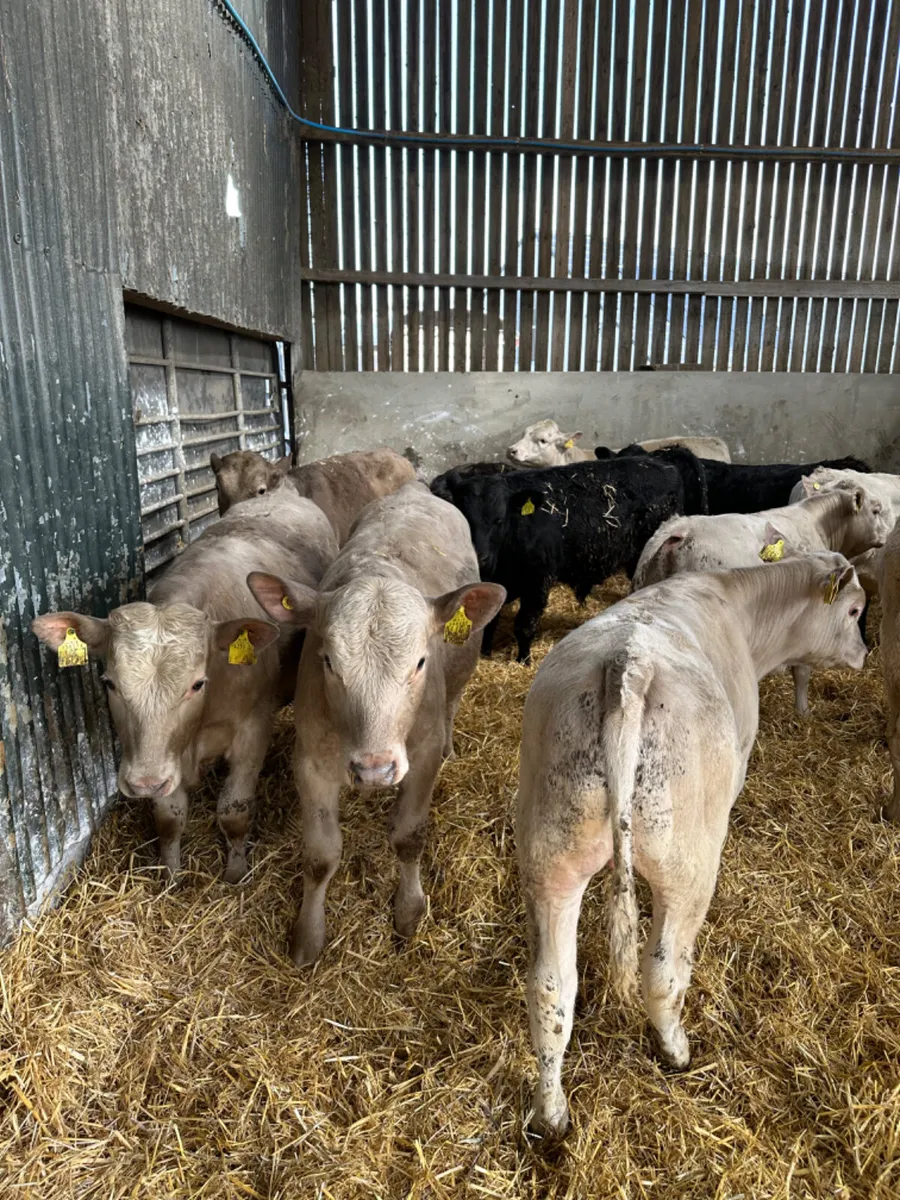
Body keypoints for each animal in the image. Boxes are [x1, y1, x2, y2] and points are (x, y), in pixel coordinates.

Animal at [33, 490, 338, 882]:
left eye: (196, 684)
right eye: (110, 683)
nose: (142, 784)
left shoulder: (253, 731)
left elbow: (234, 811)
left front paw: (235, 873)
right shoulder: (162, 757)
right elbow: (168, 819)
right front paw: (170, 875)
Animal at [246, 483, 506, 966]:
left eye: (420, 662)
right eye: (328, 662)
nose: (375, 770)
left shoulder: (421, 756)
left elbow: (408, 836)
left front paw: (408, 911)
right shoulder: (310, 761)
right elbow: (320, 855)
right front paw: (308, 935)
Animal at [436, 455, 708, 662]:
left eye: (499, 520)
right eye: (465, 518)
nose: (480, 558)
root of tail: (660, 462)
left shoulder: (538, 583)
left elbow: (525, 625)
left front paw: (523, 660)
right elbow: (490, 623)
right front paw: (485, 654)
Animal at [517, 554, 867, 1138]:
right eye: (857, 610)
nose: (866, 652)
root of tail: (627, 665)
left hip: (551, 856)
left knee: (550, 989)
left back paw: (553, 1114)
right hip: (686, 867)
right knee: (661, 972)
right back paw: (676, 1051)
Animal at [632, 488, 888, 714]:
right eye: (876, 510)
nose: (886, 535)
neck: (818, 525)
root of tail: (680, 529)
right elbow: (802, 673)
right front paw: (803, 712)